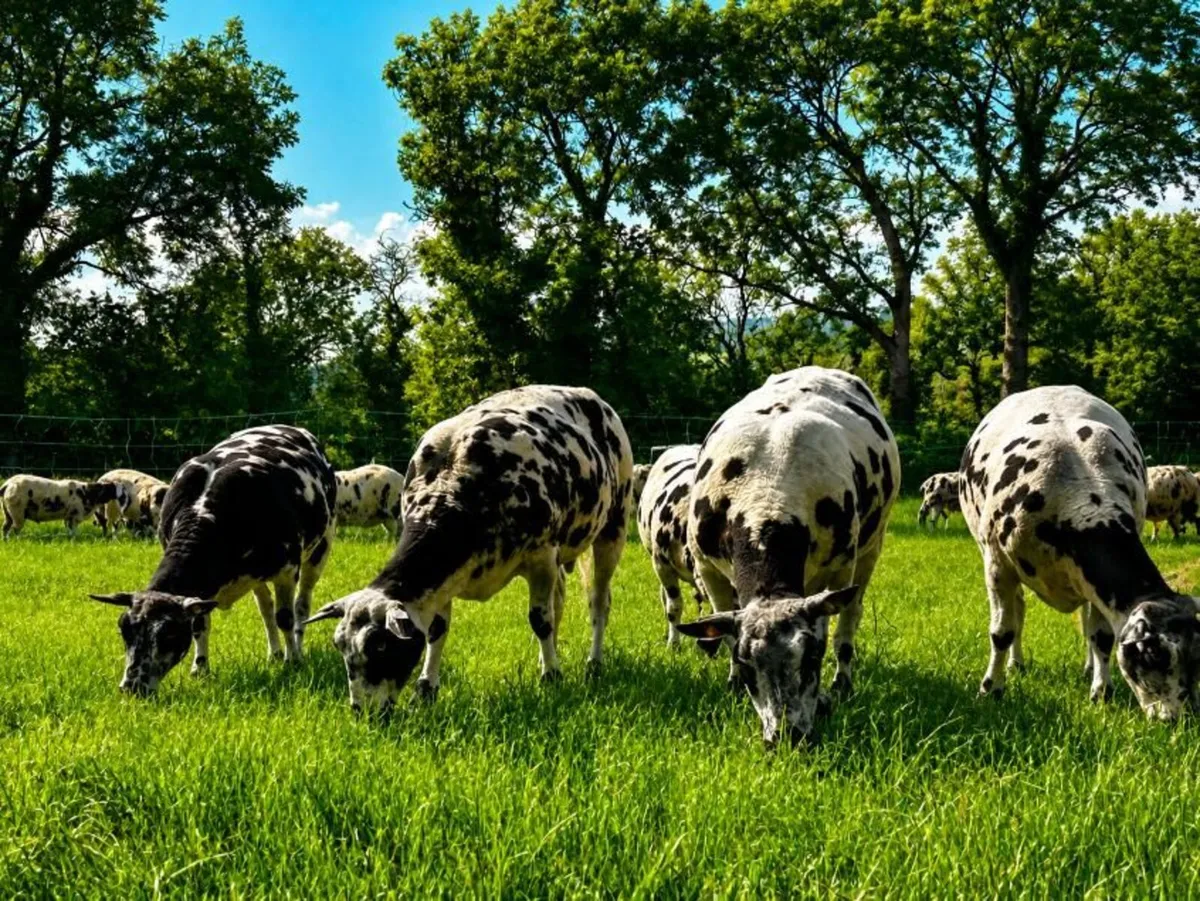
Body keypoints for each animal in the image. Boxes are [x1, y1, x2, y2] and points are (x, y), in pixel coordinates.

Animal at [88, 425, 337, 696]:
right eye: (124, 631)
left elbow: (286, 618)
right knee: (265, 608)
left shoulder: (287, 570)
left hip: (321, 547)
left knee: (301, 605)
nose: (131, 687)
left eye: (168, 635)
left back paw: (296, 650)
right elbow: (201, 622)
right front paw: (201, 668)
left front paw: (293, 662)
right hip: (257, 577)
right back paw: (275, 653)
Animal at [306, 385, 633, 714]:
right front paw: (426, 688)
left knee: (597, 602)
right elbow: (437, 630)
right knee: (559, 604)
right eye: (340, 646)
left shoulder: (541, 557)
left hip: (612, 529)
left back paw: (594, 663)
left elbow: (540, 621)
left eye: (381, 645)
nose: (363, 711)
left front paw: (551, 677)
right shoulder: (443, 578)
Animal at [676, 367, 900, 746]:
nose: (787, 736)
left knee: (850, 617)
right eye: (747, 665)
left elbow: (831, 626)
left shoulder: (838, 569)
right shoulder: (709, 568)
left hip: (872, 546)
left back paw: (843, 682)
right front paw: (733, 684)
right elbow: (724, 624)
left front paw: (824, 699)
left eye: (811, 658)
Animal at [959, 385, 1200, 720]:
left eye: (1197, 658)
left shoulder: (1095, 585)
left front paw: (1101, 693)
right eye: (1154, 655)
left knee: (1085, 620)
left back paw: (1088, 668)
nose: (1181, 718)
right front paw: (991, 689)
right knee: (1018, 611)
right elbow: (1002, 632)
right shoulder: (998, 565)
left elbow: (1102, 636)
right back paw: (1016, 663)